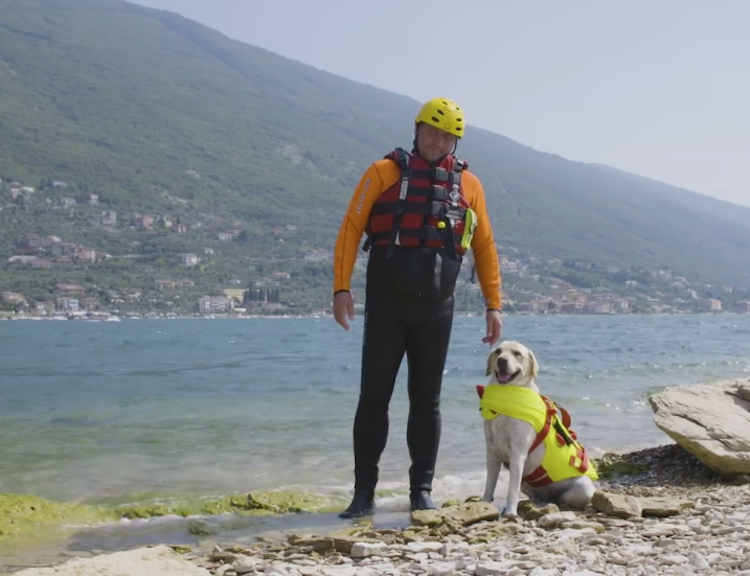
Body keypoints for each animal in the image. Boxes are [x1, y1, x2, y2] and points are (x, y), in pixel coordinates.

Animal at [482, 342, 600, 516]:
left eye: (517, 353)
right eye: (498, 351)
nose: (502, 360)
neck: (507, 396)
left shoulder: (517, 453)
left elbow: (512, 490)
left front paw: (510, 512)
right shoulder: (492, 452)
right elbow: (489, 485)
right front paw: (484, 505)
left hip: (583, 486)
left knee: (565, 496)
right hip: (528, 485)